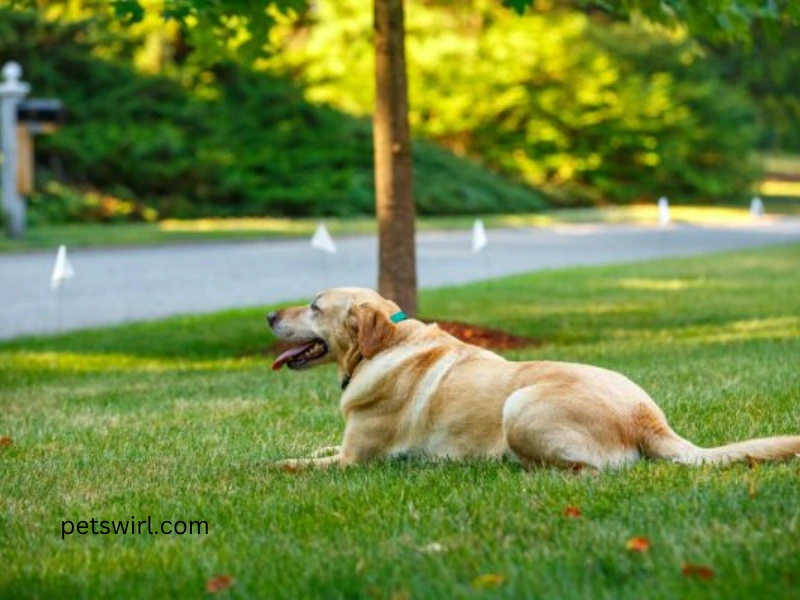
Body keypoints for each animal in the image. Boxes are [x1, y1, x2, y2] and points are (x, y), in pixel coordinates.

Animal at [268, 288, 800, 472]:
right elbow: (315, 447)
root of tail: (648, 419)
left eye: (314, 306)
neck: (384, 346)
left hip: (519, 406)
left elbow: (296, 464)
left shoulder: (354, 461)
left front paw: (267, 466)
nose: (270, 315)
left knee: (588, 469)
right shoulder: (345, 446)